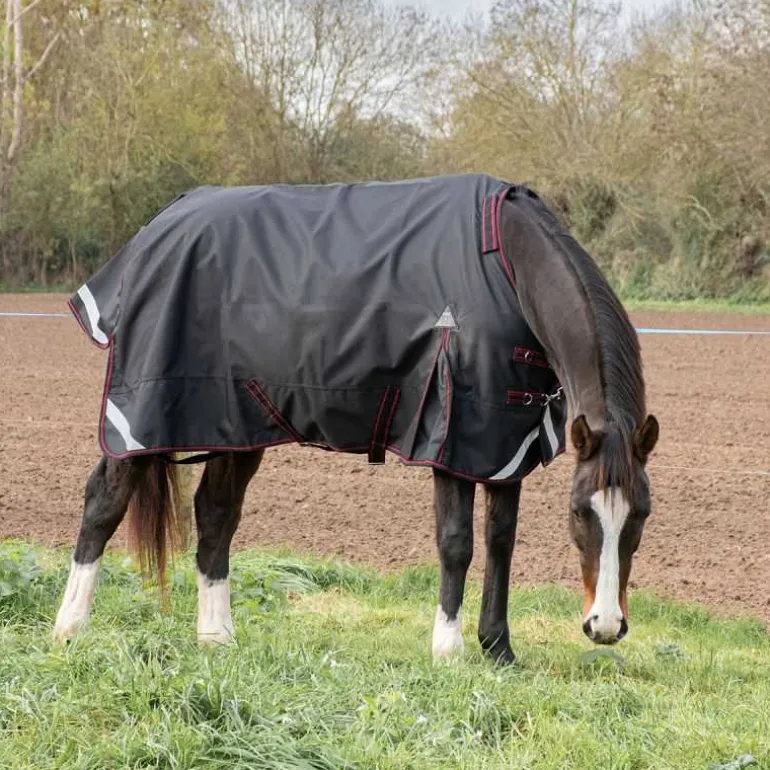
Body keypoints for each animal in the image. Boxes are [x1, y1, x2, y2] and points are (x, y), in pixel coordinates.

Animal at [53, 175, 658, 664]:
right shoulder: (452, 438)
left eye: (642, 515)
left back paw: (216, 638)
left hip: (237, 422)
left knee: (216, 515)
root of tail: (163, 220)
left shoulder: (503, 441)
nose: (605, 626)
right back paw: (69, 630)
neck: (508, 263)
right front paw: (448, 649)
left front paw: (499, 649)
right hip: (146, 417)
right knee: (104, 501)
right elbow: (457, 542)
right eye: (581, 512)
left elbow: (501, 542)